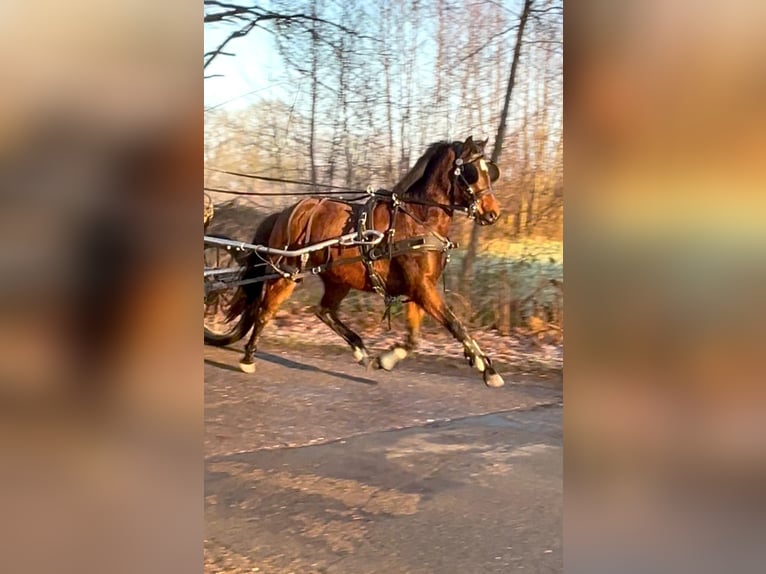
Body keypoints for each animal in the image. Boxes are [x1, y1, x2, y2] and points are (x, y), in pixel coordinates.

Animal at [225, 136, 508, 388]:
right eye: (472, 172)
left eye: (490, 171)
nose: (492, 213)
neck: (417, 219)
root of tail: (286, 212)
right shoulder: (422, 287)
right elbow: (455, 324)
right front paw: (487, 368)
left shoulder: (417, 289)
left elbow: (413, 338)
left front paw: (387, 358)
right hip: (286, 274)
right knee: (265, 311)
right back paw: (248, 357)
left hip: (338, 279)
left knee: (324, 311)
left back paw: (361, 350)